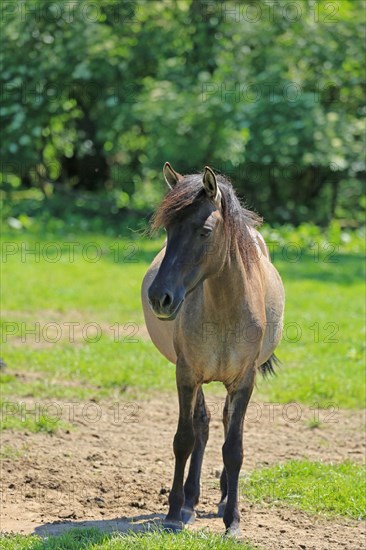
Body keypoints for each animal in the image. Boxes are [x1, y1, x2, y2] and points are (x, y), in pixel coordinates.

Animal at [142, 165, 284, 540]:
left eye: (204, 231)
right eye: (168, 230)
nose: (159, 297)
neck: (224, 311)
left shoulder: (244, 381)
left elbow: (234, 449)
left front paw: (233, 520)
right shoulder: (187, 374)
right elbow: (184, 439)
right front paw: (174, 513)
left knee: (223, 424)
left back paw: (221, 498)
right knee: (203, 426)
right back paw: (191, 501)